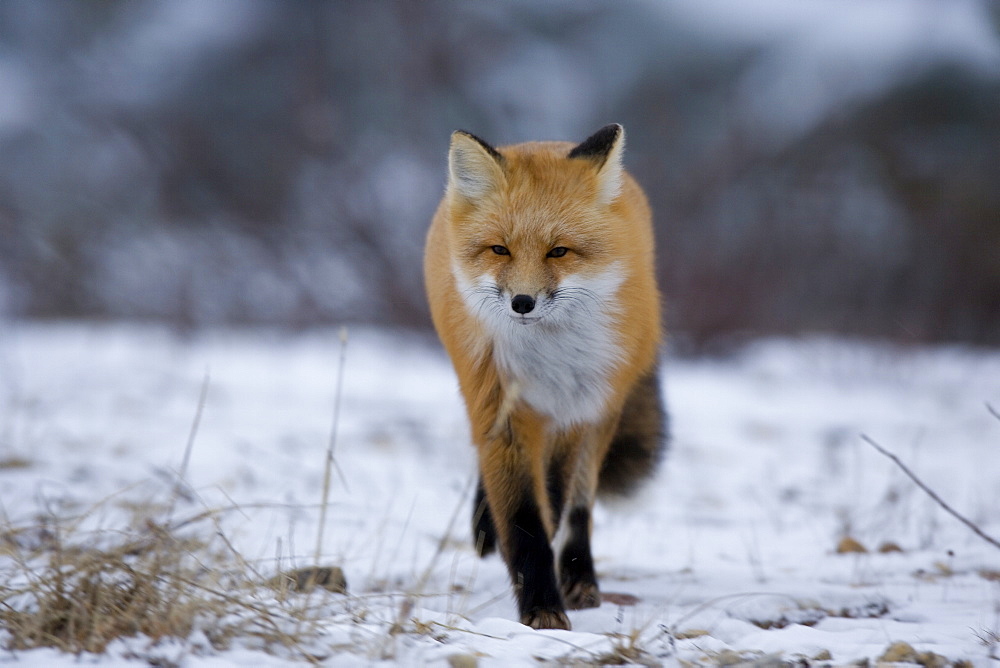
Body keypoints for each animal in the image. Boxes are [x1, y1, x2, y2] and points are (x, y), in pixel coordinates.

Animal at [422, 125, 664, 632]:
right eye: (500, 249)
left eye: (559, 251)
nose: (522, 302)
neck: (545, 359)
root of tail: (544, 140)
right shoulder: (499, 403)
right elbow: (522, 517)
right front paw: (540, 607)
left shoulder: (575, 409)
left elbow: (555, 504)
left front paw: (551, 594)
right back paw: (485, 528)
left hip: (602, 411)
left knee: (579, 506)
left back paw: (580, 576)